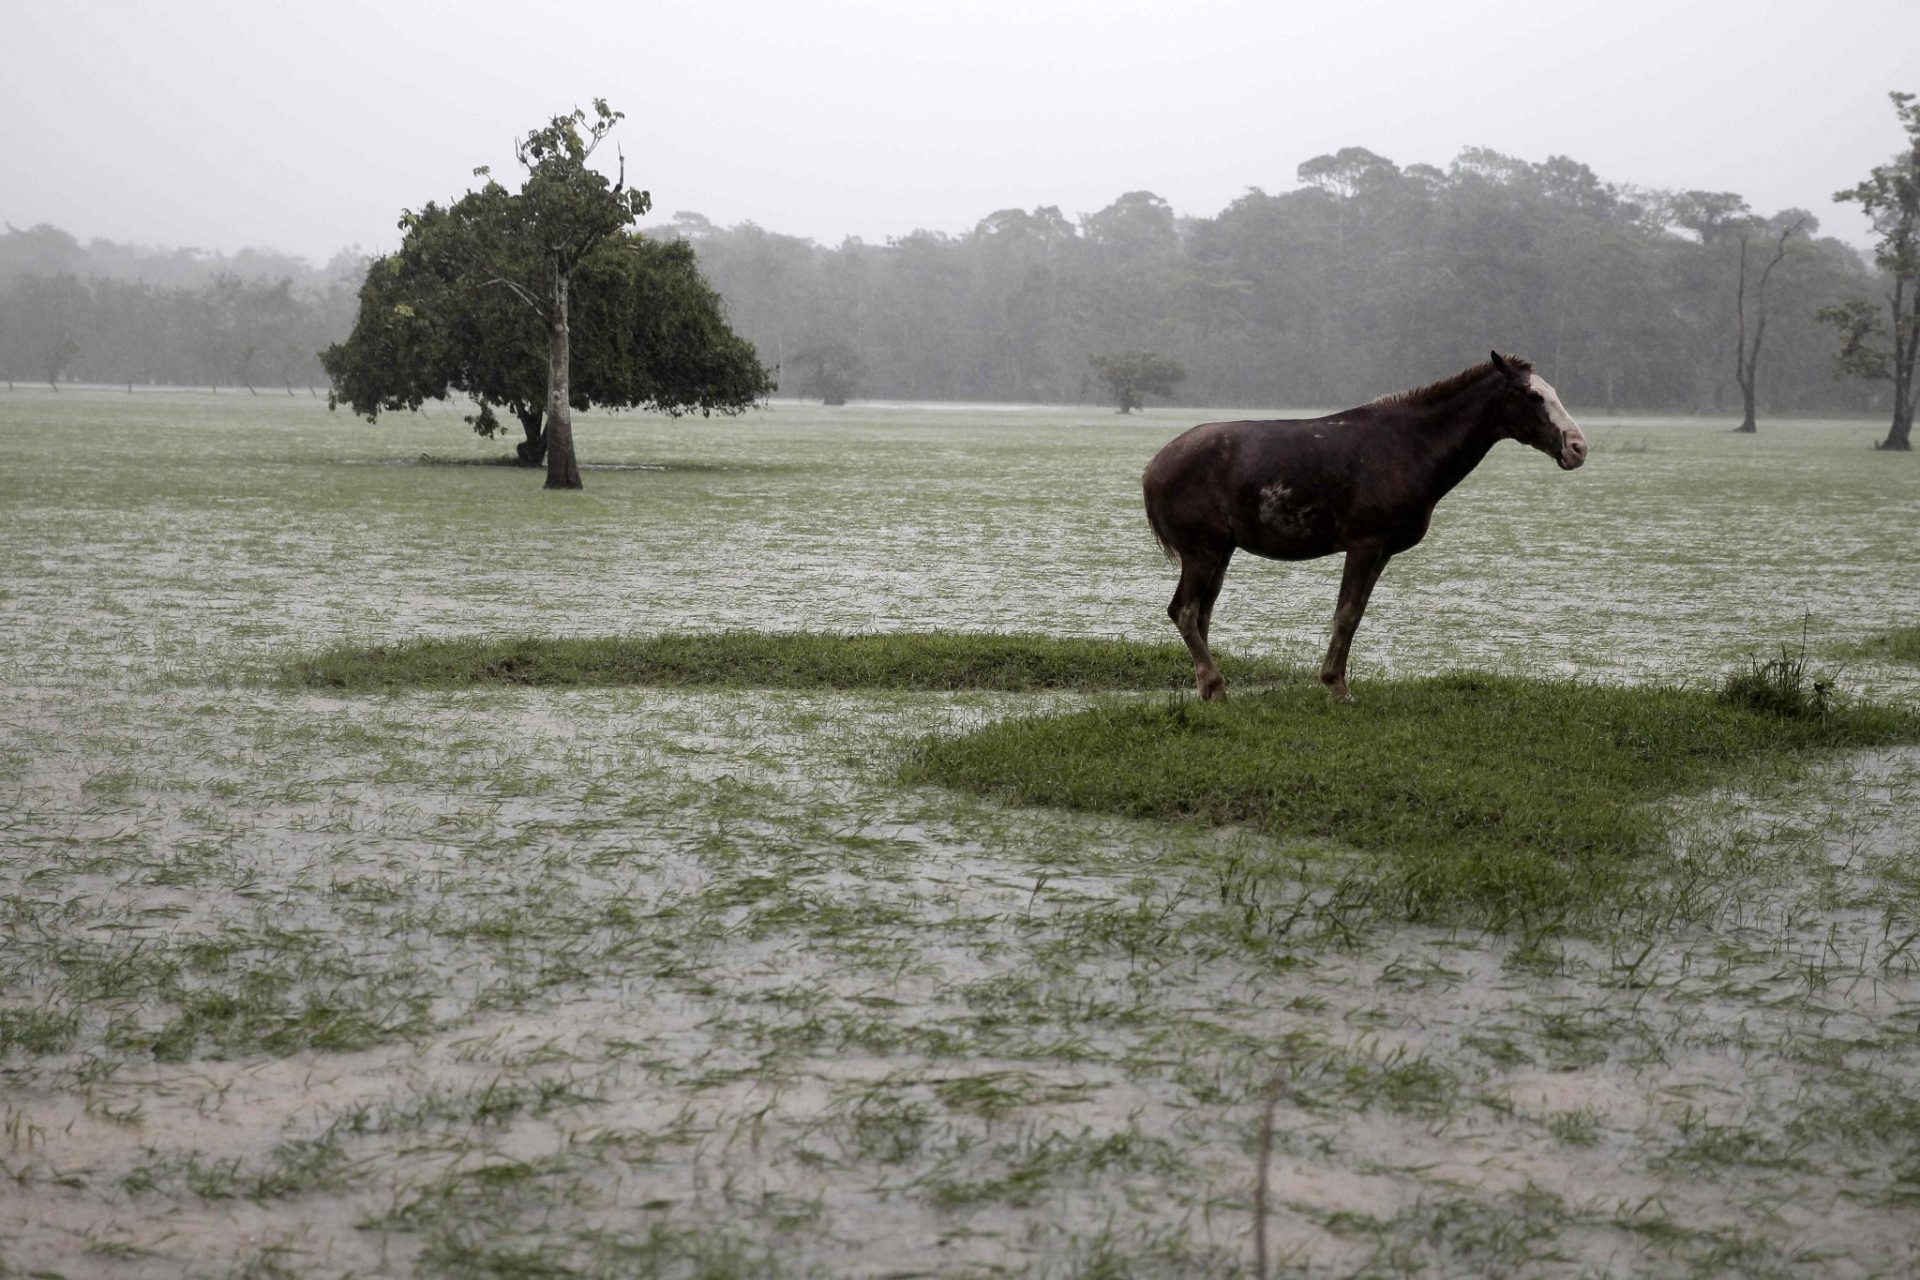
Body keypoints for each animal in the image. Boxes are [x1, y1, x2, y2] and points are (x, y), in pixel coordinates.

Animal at [1141, 352, 1587, 702]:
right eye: (1533, 396)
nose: (1578, 447)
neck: (1409, 446)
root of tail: (1153, 468)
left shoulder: (1382, 551)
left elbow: (1355, 614)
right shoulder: (1364, 544)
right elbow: (1345, 613)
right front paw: (1335, 686)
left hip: (1221, 552)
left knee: (1201, 613)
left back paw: (1206, 687)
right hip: (1202, 552)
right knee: (1183, 611)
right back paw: (1216, 685)